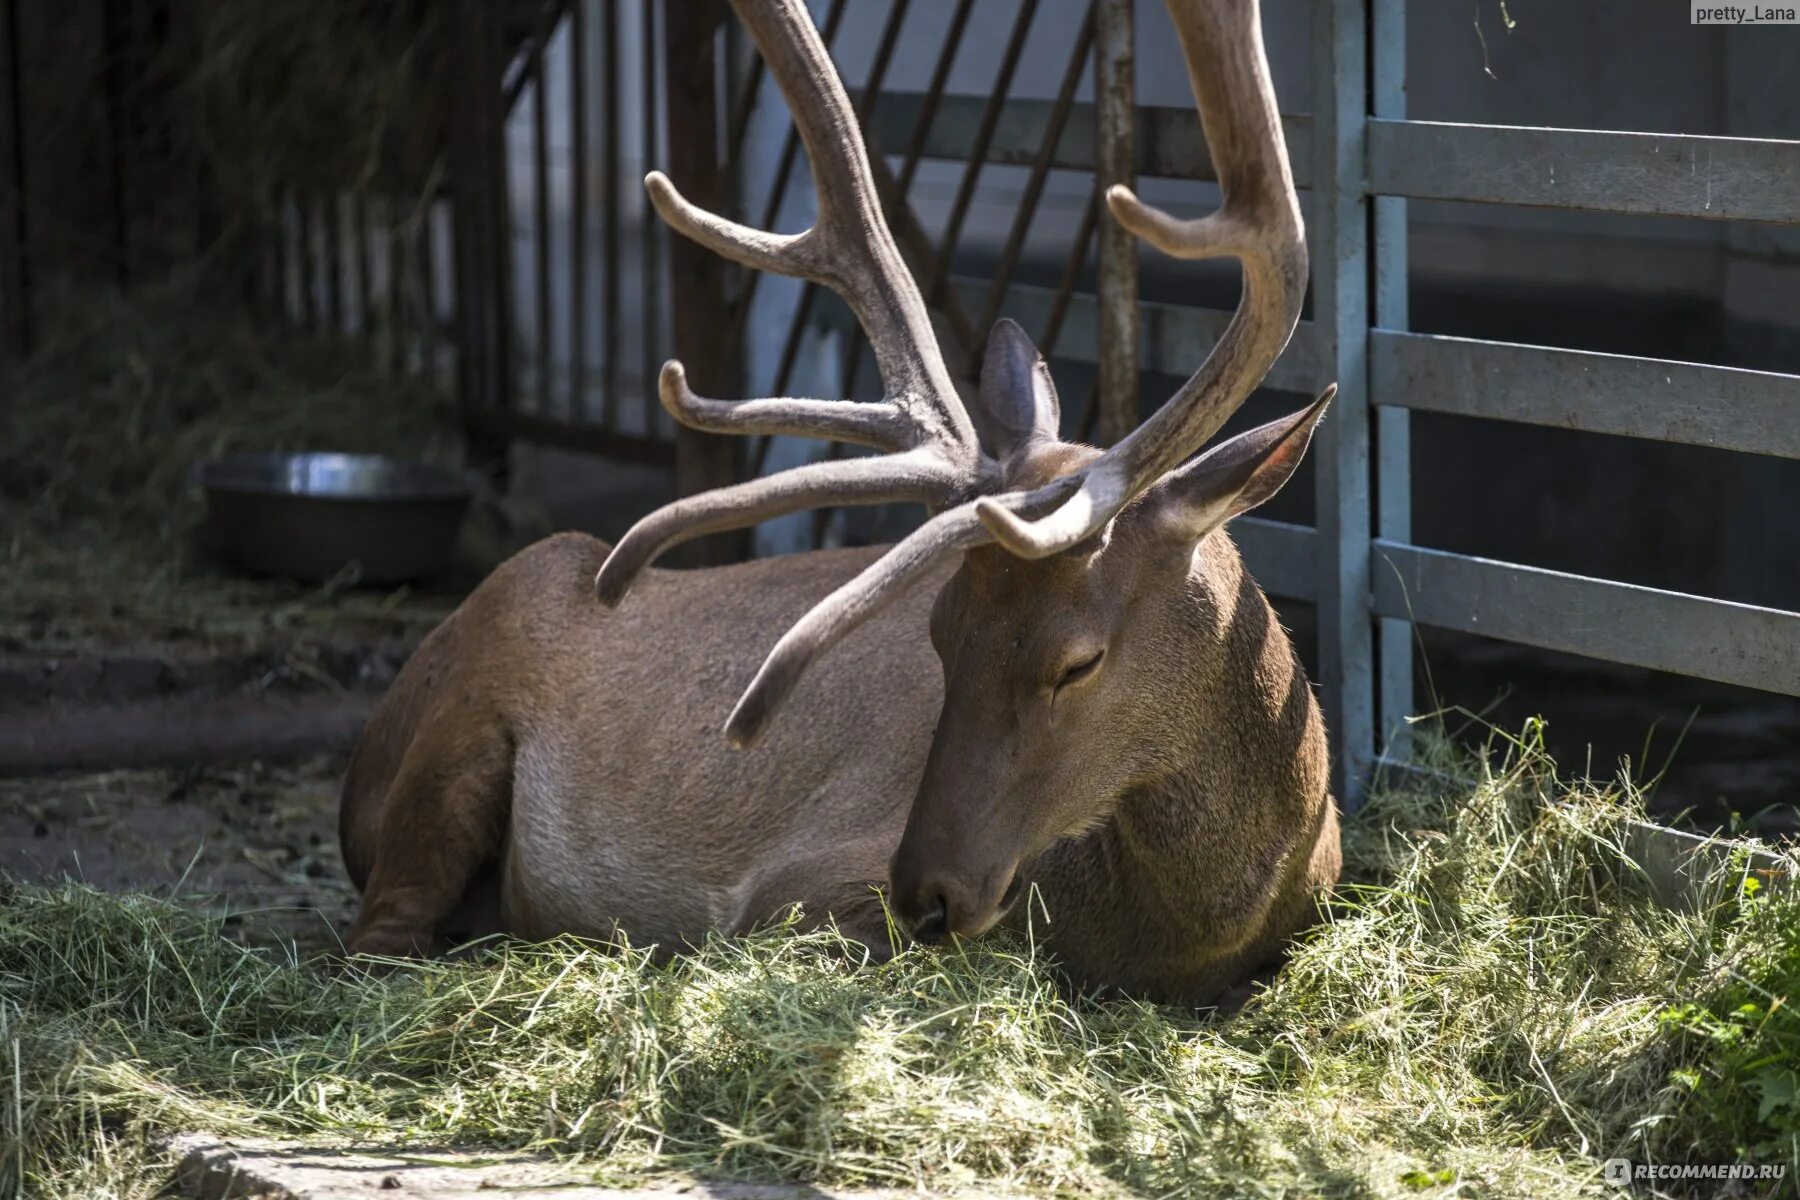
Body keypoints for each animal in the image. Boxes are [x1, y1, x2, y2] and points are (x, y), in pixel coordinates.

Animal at [343, 0, 1346, 1007]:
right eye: (938, 631)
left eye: (1079, 660)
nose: (926, 893)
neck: (1181, 940)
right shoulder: (802, 883)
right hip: (456, 734)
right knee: (377, 936)